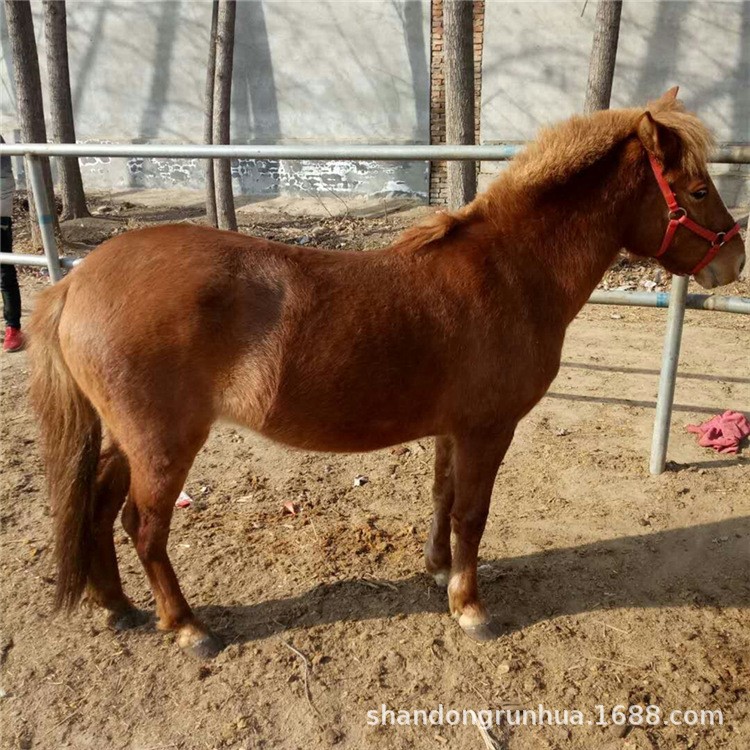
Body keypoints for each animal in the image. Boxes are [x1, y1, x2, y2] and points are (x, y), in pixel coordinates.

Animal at [26, 91, 744, 660]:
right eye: (698, 190)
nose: (733, 260)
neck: (511, 272)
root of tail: (76, 281)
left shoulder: (454, 429)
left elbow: (443, 499)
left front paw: (437, 574)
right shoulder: (488, 429)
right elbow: (472, 514)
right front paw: (470, 608)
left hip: (126, 438)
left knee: (96, 508)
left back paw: (119, 608)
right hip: (163, 443)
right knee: (144, 528)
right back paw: (187, 627)